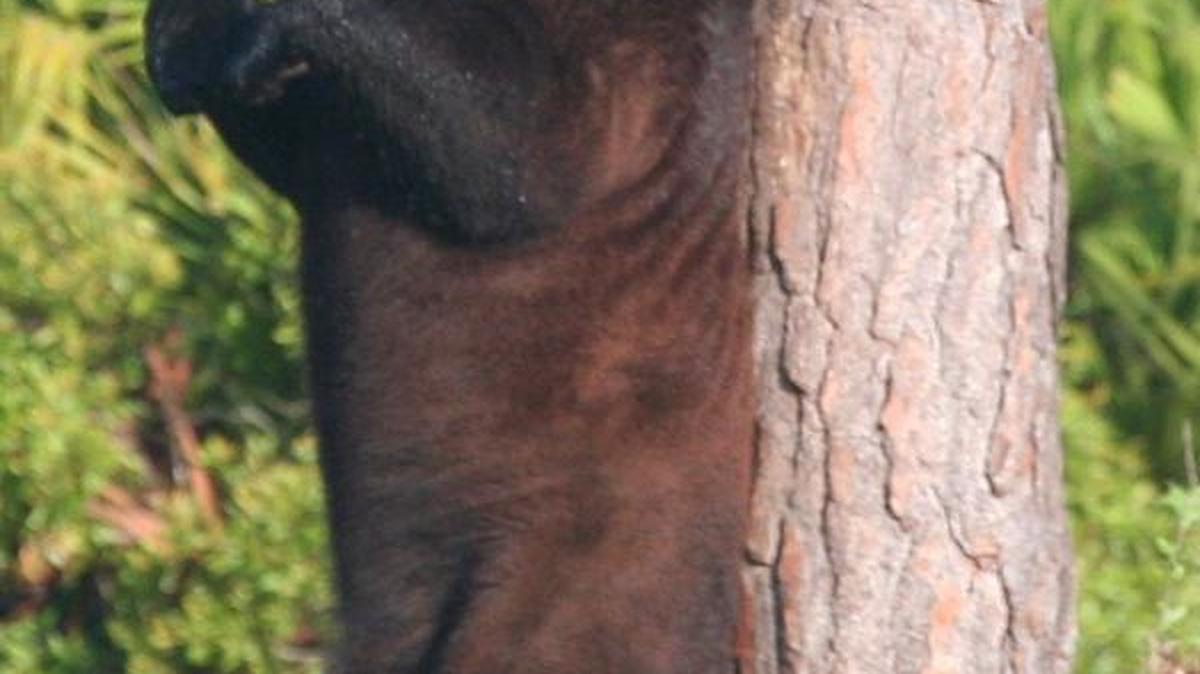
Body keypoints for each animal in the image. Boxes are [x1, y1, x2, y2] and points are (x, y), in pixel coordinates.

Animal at [144, 0, 754, 672]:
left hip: (571, 559)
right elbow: (295, 149)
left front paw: (255, 36)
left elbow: (534, 141)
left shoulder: (641, 54)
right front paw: (184, 43)